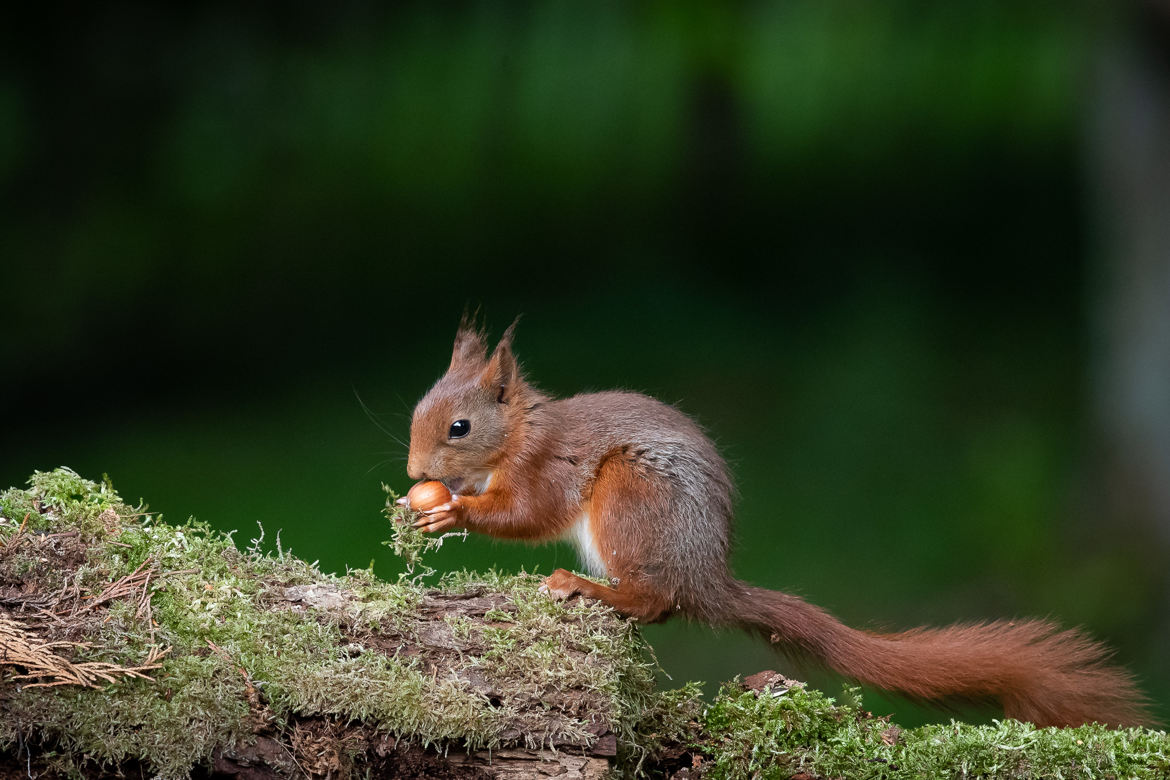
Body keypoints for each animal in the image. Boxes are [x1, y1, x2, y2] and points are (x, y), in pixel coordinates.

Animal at [400, 315, 1141, 725]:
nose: (413, 473)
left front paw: (453, 511)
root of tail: (706, 579)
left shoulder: (552, 467)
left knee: (654, 601)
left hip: (631, 500)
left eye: (459, 427)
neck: (518, 436)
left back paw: (589, 587)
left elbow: (529, 514)